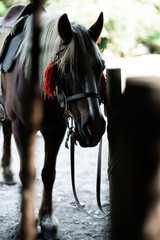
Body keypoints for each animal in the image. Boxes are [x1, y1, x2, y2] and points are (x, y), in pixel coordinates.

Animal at [0, 7, 106, 240]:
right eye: (66, 69)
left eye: (101, 67)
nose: (95, 127)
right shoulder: (23, 129)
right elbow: (27, 175)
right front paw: (26, 223)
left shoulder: (55, 130)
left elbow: (48, 174)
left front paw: (47, 220)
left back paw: (7, 172)